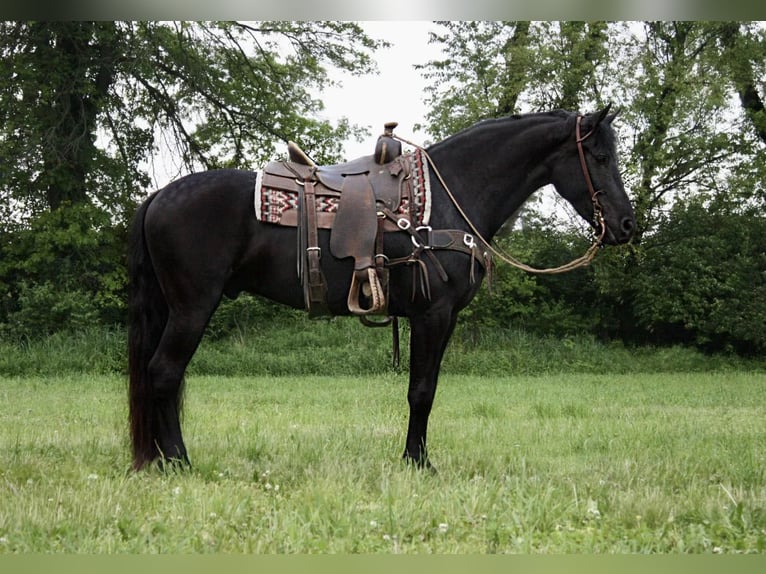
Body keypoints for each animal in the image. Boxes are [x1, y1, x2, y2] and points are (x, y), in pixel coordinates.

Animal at [130, 108, 636, 472]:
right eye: (600, 157)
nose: (628, 225)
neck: (451, 198)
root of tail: (159, 196)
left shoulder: (441, 319)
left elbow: (425, 388)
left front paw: (416, 458)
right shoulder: (433, 314)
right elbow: (422, 391)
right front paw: (418, 463)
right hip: (193, 307)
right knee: (164, 373)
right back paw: (179, 462)